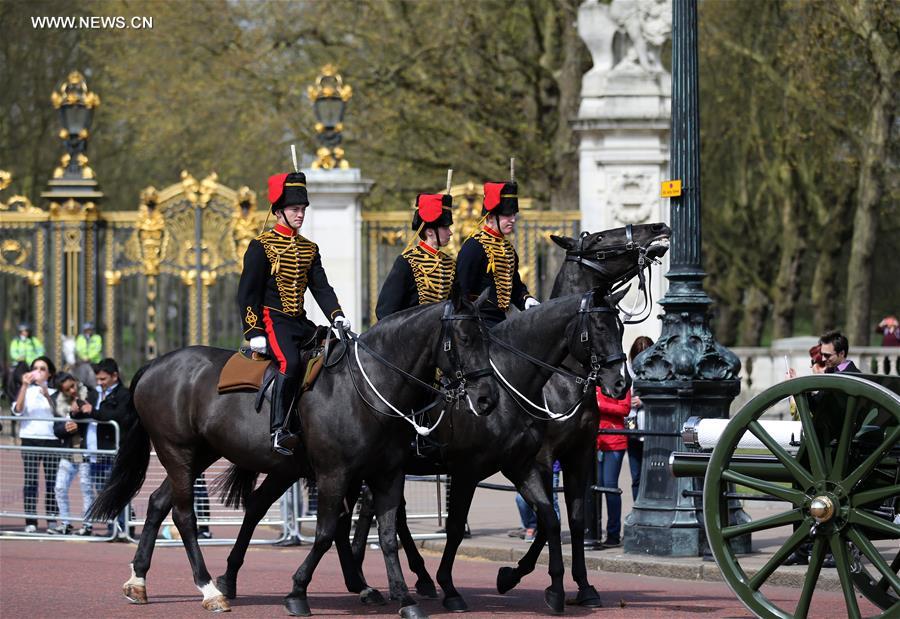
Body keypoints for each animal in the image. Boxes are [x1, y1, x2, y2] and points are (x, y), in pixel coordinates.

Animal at [87, 296, 496, 616]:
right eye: (464, 338)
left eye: (487, 339)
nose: (487, 399)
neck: (370, 388)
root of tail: (155, 364)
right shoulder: (335, 473)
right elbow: (328, 531)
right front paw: (298, 591)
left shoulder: (387, 474)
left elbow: (387, 534)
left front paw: (403, 598)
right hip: (177, 450)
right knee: (184, 515)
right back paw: (210, 589)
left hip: (200, 454)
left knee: (158, 502)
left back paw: (139, 581)